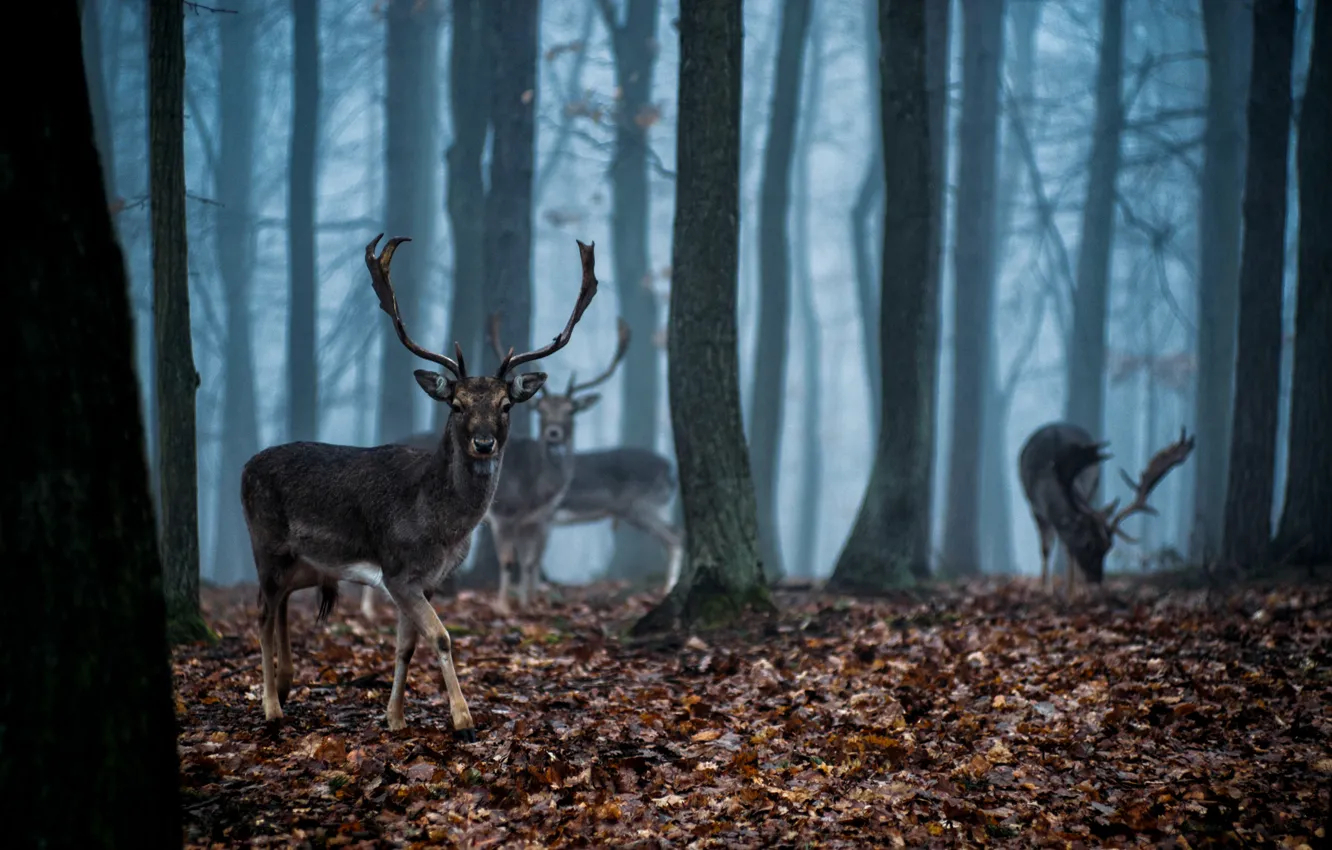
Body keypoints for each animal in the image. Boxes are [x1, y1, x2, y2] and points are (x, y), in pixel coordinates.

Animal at [240, 234, 599, 738]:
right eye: (456, 404)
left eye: (506, 404)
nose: (483, 443)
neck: (439, 524)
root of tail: (246, 467)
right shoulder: (397, 570)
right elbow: (442, 637)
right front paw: (463, 720)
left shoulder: (426, 581)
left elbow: (406, 646)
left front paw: (394, 717)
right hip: (266, 543)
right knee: (262, 614)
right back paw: (271, 706)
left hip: (303, 561)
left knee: (283, 604)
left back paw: (289, 685)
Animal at [1018, 422, 1195, 595]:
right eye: (1087, 544)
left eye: (1109, 546)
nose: (1095, 580)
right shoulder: (1035, 508)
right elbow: (1046, 549)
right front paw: (1045, 588)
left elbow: (1068, 551)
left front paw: (1071, 591)